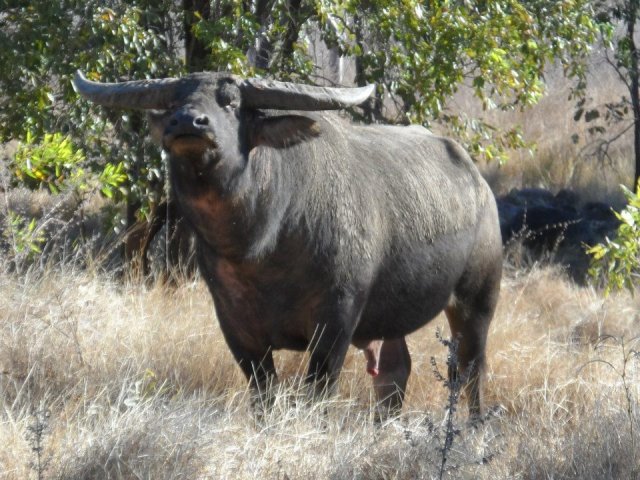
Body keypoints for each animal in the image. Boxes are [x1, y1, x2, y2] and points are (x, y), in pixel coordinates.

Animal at [73, 71, 502, 418]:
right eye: (175, 102)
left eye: (230, 101)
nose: (187, 122)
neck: (259, 246)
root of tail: (479, 184)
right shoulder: (237, 330)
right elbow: (263, 396)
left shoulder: (335, 325)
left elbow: (317, 396)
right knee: (395, 372)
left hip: (476, 301)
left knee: (470, 369)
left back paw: (473, 426)